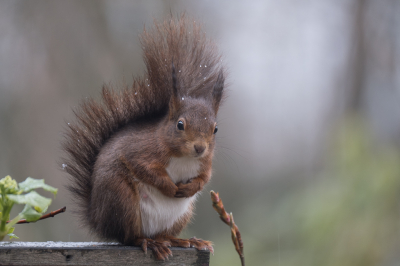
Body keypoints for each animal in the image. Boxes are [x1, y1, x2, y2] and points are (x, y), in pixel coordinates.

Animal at [62, 15, 225, 260]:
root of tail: (98, 219)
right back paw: (149, 242)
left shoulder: (205, 163)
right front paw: (169, 188)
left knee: (163, 234)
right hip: (122, 199)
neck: (183, 156)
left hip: (181, 214)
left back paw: (183, 240)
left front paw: (190, 188)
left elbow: (204, 178)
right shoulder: (140, 151)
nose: (200, 148)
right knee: (129, 238)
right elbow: (145, 169)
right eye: (180, 125)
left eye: (215, 129)